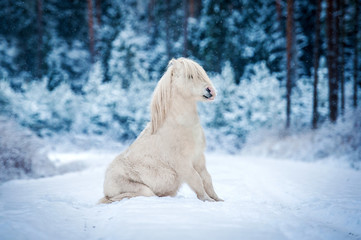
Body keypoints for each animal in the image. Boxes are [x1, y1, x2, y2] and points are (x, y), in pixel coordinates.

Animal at [99, 58, 222, 202]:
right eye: (190, 76)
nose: (211, 91)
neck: (179, 125)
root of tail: (106, 184)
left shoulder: (198, 158)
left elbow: (207, 179)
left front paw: (218, 200)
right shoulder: (183, 165)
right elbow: (197, 180)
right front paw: (206, 200)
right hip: (143, 190)